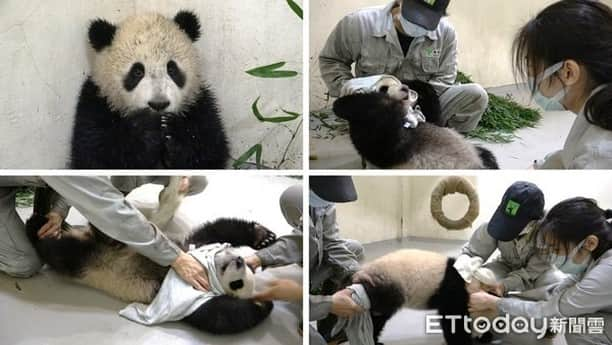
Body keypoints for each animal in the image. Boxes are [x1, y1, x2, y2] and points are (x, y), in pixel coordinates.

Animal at [71, 11, 230, 170]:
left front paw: (173, 131)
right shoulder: (96, 102)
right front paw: (146, 129)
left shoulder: (199, 102)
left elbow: (210, 150)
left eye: (171, 68)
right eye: (137, 72)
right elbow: (96, 154)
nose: (158, 104)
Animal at [332, 78, 500, 169]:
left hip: (475, 153)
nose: (405, 88)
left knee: (487, 155)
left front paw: (417, 85)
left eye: (400, 83)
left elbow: (435, 117)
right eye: (384, 87)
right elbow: (382, 143)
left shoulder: (428, 118)